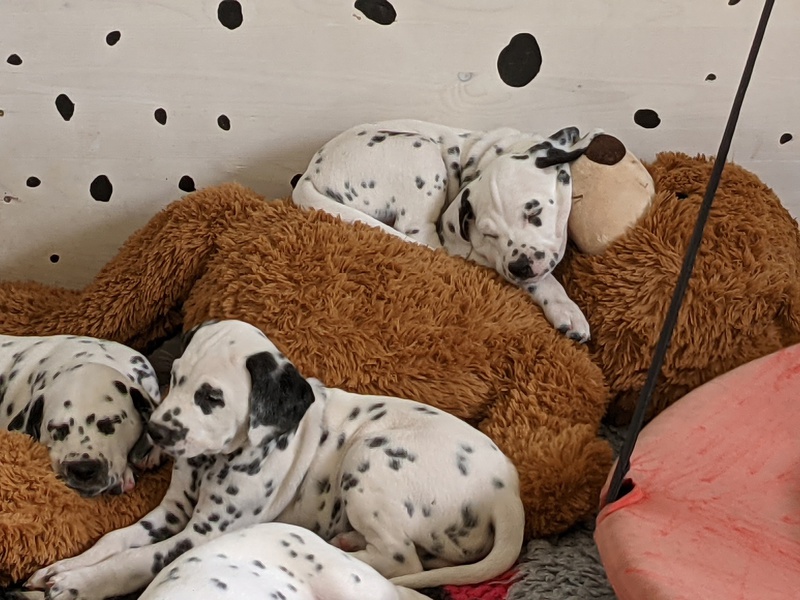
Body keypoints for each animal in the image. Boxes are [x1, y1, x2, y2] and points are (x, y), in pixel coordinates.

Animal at [292, 119, 601, 342]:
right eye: (490, 234)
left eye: (533, 212)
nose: (520, 266)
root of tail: (308, 175)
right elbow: (542, 279)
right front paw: (565, 307)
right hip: (422, 151)